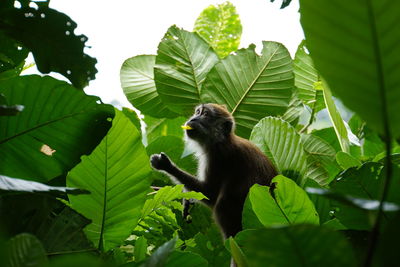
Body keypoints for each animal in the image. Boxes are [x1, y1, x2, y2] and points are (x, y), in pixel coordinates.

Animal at [150, 104, 278, 239]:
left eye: (205, 114)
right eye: (197, 112)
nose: (193, 118)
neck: (220, 141)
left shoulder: (217, 158)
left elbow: (210, 193)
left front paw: (166, 165)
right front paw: (187, 200)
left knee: (222, 205)